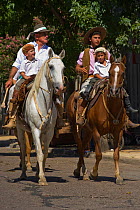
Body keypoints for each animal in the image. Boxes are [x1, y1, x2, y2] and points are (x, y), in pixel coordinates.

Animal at [16, 48, 65, 185]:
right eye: (51, 66)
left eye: (63, 67)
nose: (60, 88)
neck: (43, 102)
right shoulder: (35, 130)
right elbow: (38, 153)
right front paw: (42, 178)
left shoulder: (48, 132)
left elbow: (45, 153)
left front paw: (40, 174)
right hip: (20, 129)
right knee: (23, 149)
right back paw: (23, 174)